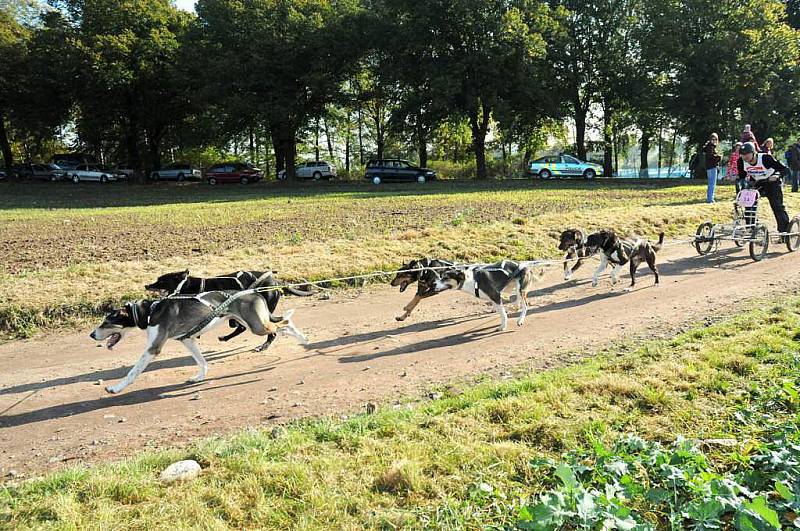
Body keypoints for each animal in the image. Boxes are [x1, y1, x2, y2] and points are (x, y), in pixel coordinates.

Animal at [89, 290, 308, 394]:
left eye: (107, 321)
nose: (91, 335)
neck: (149, 312)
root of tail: (254, 292)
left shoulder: (153, 348)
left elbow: (133, 372)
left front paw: (115, 388)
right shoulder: (188, 339)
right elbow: (202, 361)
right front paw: (199, 377)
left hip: (257, 326)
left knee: (286, 324)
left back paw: (303, 338)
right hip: (253, 324)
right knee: (282, 324)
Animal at [145, 272, 314, 352]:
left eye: (160, 280)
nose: (147, 285)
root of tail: (276, 282)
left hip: (256, 319)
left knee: (271, 331)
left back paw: (263, 346)